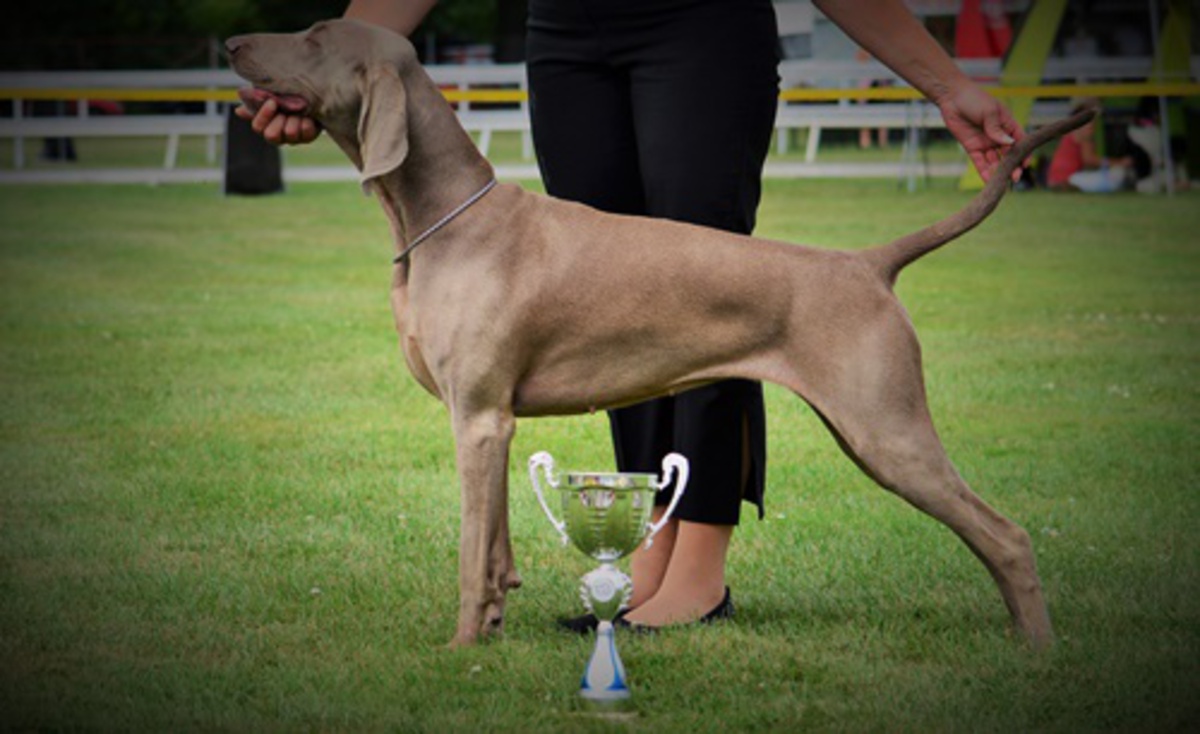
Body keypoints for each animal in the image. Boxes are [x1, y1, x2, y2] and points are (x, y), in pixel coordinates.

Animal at [223, 17, 1089, 647]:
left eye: (313, 36)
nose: (230, 45)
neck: (440, 217)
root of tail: (869, 264)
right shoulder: (495, 422)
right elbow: (497, 547)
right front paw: (496, 625)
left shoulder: (478, 417)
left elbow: (471, 554)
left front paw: (461, 649)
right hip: (872, 432)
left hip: (886, 428)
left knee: (1007, 535)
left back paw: (1039, 649)